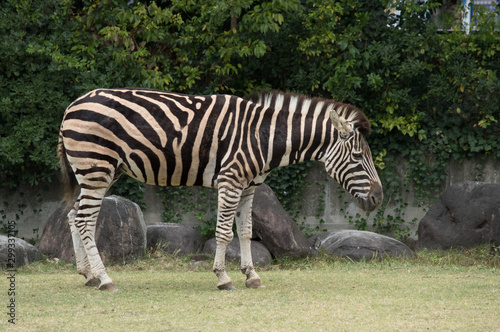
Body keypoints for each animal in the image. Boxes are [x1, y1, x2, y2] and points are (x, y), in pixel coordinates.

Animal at [56, 87, 380, 290]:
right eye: (357, 156)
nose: (378, 197)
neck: (263, 136)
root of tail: (73, 104)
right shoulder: (230, 181)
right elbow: (224, 233)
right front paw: (224, 278)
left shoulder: (249, 187)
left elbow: (246, 231)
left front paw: (252, 275)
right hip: (96, 168)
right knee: (84, 220)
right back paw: (104, 279)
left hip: (103, 171)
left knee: (73, 215)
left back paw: (87, 275)